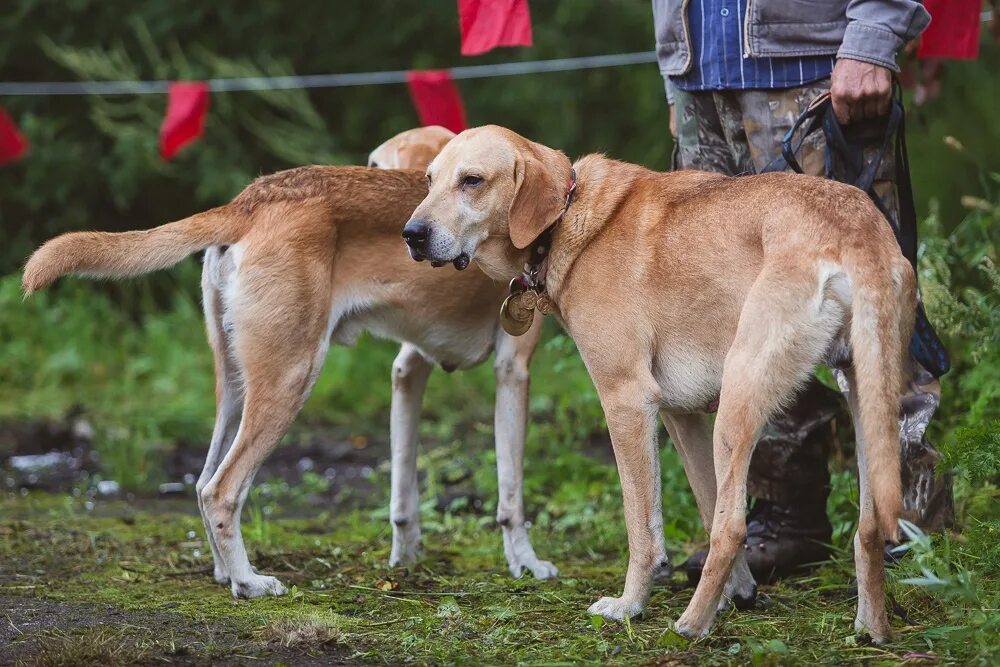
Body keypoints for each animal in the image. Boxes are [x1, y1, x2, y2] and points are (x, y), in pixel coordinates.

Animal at [21, 126, 556, 600]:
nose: (410, 233)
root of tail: (250, 199)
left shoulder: (408, 370)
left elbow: (404, 491)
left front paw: (406, 559)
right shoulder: (513, 371)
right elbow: (511, 494)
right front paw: (525, 564)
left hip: (237, 387)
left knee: (203, 480)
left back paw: (225, 572)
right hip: (291, 377)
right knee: (221, 490)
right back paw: (248, 583)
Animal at [402, 124, 916, 640]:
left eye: (472, 180)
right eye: (428, 180)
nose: (411, 235)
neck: (566, 217)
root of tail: (855, 227)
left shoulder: (626, 402)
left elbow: (644, 529)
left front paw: (630, 605)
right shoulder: (681, 417)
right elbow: (707, 505)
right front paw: (737, 595)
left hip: (739, 403)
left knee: (734, 528)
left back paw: (690, 625)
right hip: (866, 404)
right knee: (866, 526)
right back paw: (871, 628)